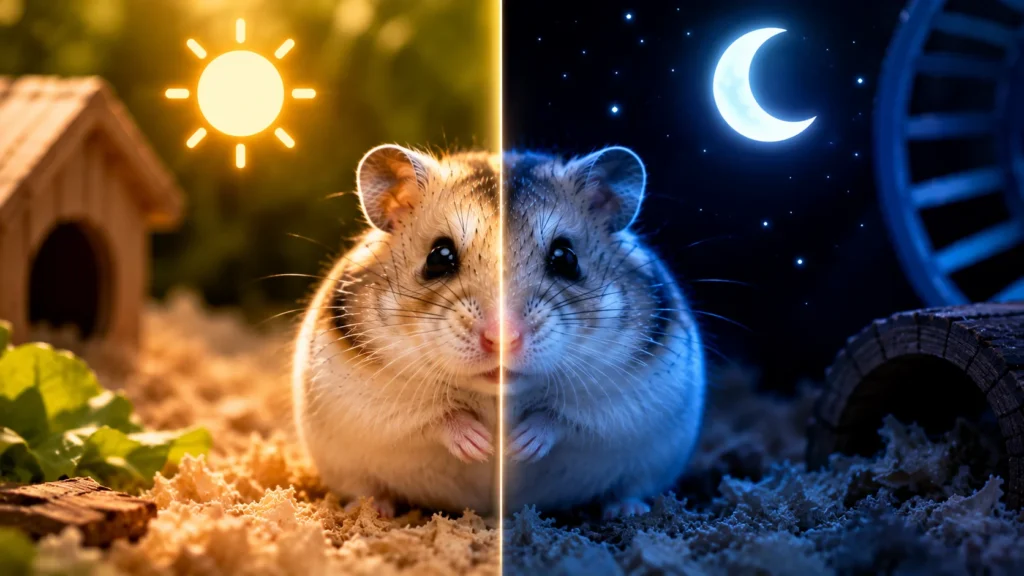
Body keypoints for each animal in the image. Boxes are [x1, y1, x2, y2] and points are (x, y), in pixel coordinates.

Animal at [292, 144, 705, 519]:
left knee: (631, 487)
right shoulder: (376, 399)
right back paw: (371, 509)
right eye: (438, 256)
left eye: (566, 258)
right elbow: (434, 417)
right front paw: (482, 445)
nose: (502, 339)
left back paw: (628, 511)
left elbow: (563, 418)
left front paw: (516, 445)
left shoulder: (622, 399)